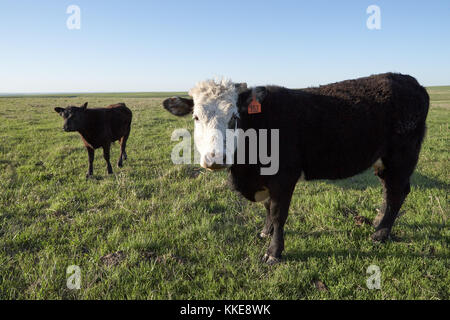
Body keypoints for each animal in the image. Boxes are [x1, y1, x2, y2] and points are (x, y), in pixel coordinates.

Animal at [163, 74, 430, 264]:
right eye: (196, 117)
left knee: (397, 193)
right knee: (389, 191)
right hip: (384, 162)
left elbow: (279, 213)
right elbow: (268, 207)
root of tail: (411, 81)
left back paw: (381, 234)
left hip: (401, 158)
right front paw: (265, 231)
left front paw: (273, 252)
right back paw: (378, 222)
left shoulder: (284, 177)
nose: (215, 159)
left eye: (234, 117)